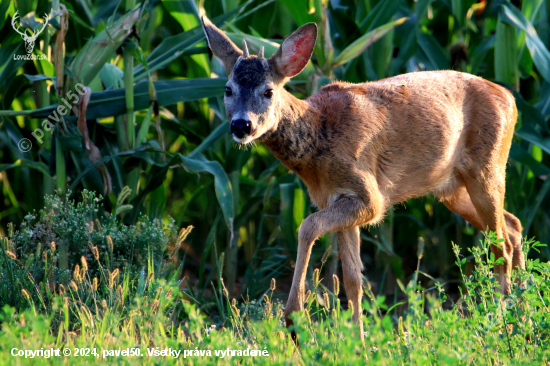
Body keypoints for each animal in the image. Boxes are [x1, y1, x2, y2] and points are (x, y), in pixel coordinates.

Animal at [203, 15, 528, 342]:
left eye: (268, 91)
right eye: (228, 89)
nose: (241, 125)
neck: (319, 139)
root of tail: (511, 99)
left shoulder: (370, 197)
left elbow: (307, 227)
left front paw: (295, 318)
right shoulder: (337, 198)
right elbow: (352, 279)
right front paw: (358, 341)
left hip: (487, 168)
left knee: (501, 245)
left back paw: (501, 325)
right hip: (452, 187)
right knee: (513, 226)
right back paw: (523, 315)